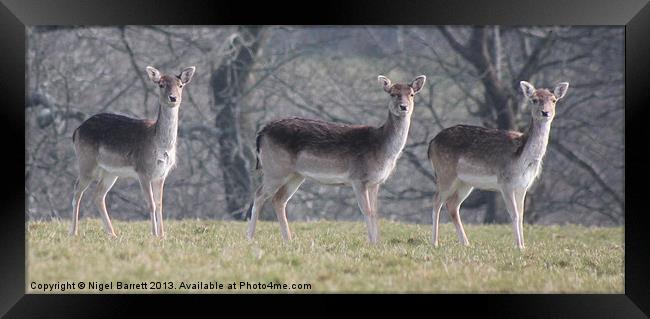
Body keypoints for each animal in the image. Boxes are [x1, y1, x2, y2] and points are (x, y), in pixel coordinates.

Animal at [69, 66, 195, 239]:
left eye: (181, 85)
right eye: (161, 84)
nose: (173, 98)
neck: (161, 146)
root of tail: (76, 131)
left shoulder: (162, 174)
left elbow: (159, 204)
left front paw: (162, 235)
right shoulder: (143, 170)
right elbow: (151, 204)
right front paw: (154, 234)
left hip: (110, 172)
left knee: (98, 195)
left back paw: (112, 234)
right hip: (86, 162)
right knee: (77, 190)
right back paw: (73, 232)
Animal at [246, 75, 422, 245]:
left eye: (412, 94)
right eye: (393, 94)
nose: (403, 107)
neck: (382, 148)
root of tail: (261, 133)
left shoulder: (375, 182)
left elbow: (375, 212)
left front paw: (377, 243)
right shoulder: (358, 178)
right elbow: (367, 210)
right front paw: (372, 244)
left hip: (296, 175)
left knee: (278, 199)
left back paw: (288, 240)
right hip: (275, 169)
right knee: (259, 194)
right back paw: (250, 237)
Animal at [428, 80, 568, 250]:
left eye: (554, 100)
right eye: (534, 100)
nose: (545, 112)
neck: (522, 159)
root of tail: (431, 143)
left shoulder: (523, 186)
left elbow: (521, 215)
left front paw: (523, 246)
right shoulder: (505, 182)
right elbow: (514, 214)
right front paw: (519, 247)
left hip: (465, 183)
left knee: (452, 205)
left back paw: (466, 243)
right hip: (445, 174)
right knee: (436, 201)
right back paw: (435, 242)